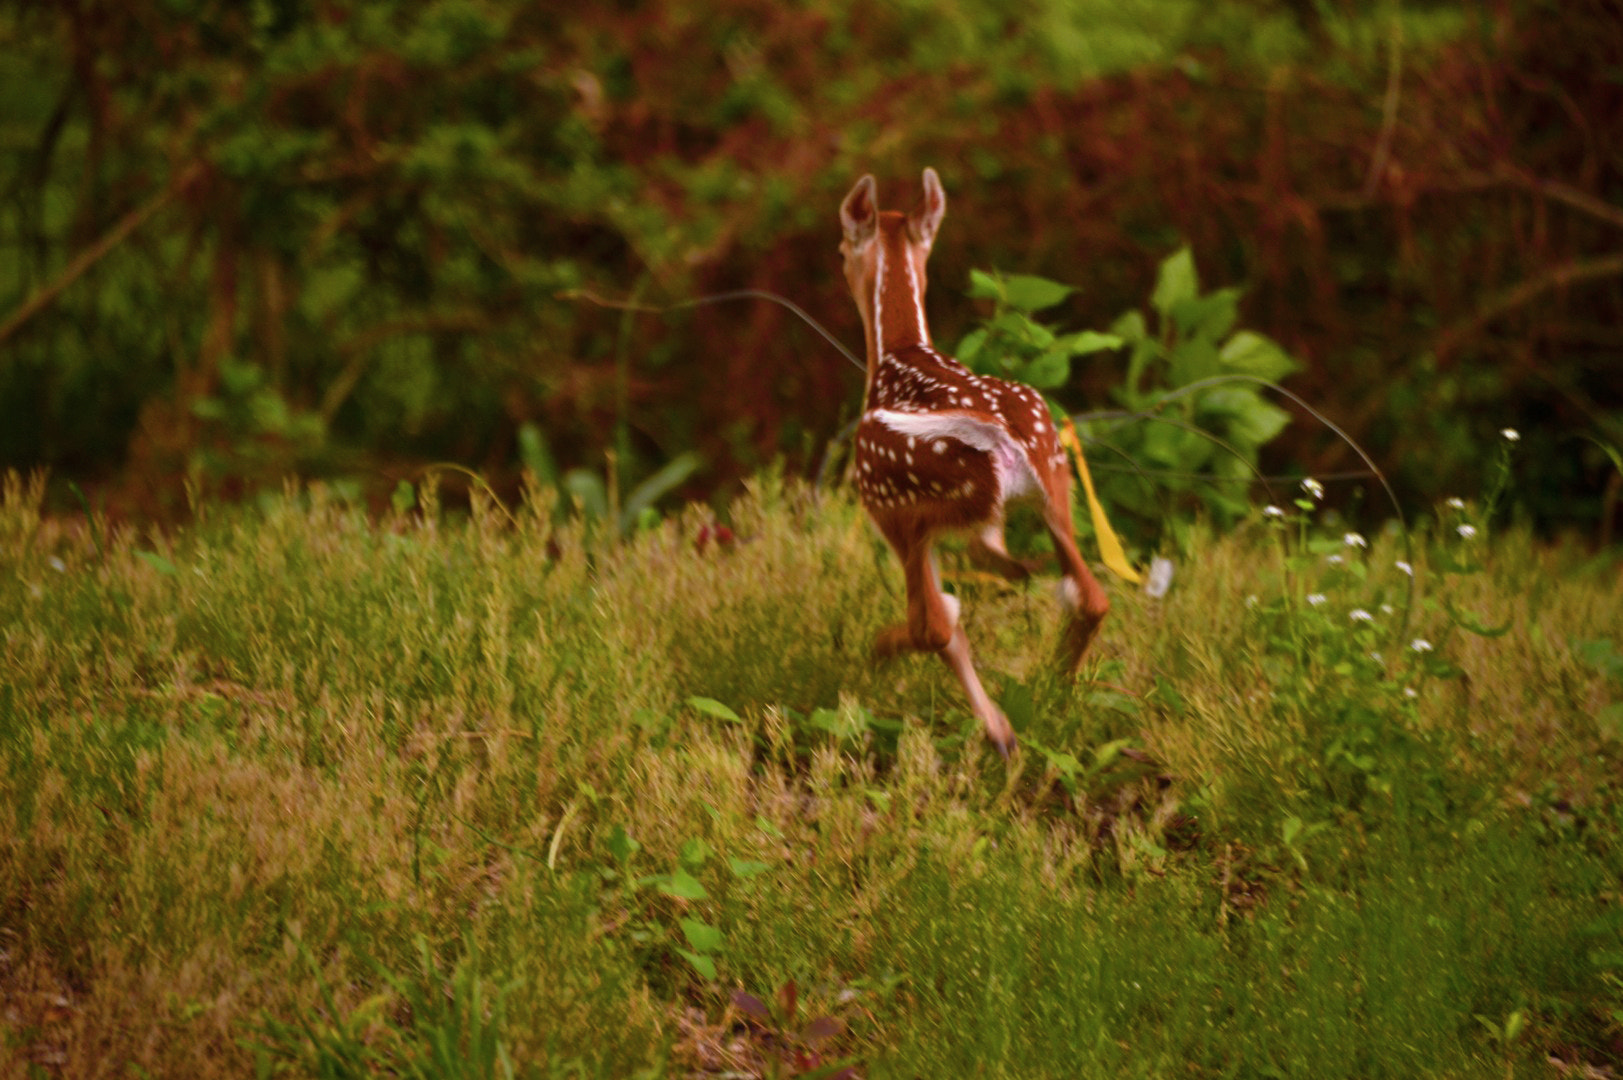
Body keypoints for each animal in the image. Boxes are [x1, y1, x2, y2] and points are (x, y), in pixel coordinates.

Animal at [838, 167, 1110, 757]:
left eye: (841, 247)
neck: (895, 355)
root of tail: (999, 435)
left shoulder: (886, 508)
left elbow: (942, 617)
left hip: (906, 505)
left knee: (934, 622)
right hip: (1056, 479)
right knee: (1090, 594)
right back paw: (1054, 689)